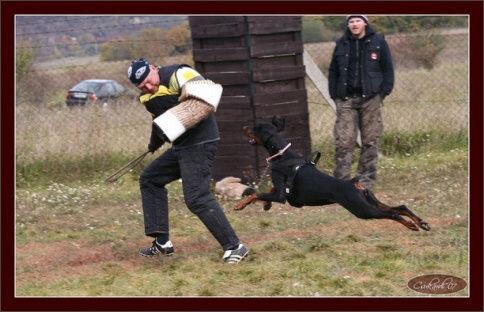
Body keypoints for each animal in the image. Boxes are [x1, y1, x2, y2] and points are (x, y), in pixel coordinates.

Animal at [235, 115, 432, 232]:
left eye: (256, 127)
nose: (243, 126)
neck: (283, 154)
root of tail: (353, 183)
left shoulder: (282, 195)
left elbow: (256, 194)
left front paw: (240, 205)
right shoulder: (281, 191)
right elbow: (267, 192)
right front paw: (266, 205)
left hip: (362, 209)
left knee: (391, 213)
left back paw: (411, 225)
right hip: (370, 201)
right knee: (400, 207)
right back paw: (421, 222)